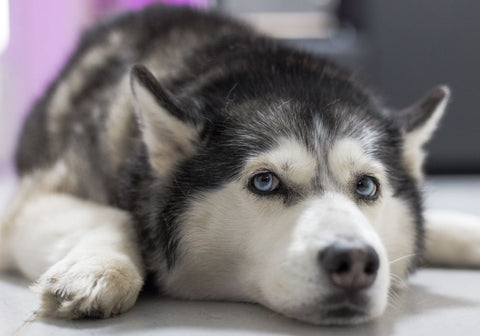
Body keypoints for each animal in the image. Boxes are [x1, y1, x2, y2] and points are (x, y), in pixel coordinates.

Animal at [0, 3, 480, 326]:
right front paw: (98, 269)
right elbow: (118, 218)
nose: (356, 260)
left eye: (366, 187)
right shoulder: (29, 203)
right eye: (265, 182)